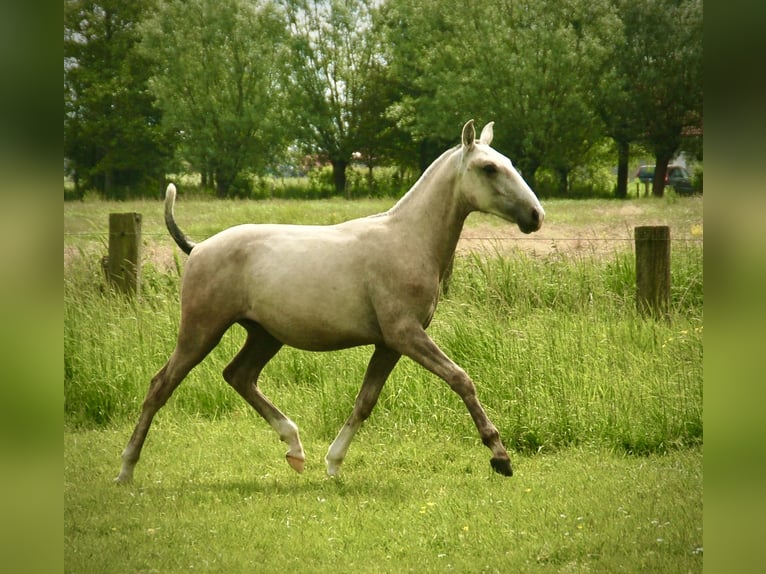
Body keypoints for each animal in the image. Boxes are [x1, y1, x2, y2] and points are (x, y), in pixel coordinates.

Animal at [114, 121, 544, 486]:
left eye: (509, 163)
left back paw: (295, 449)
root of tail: (197, 247)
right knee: (161, 386)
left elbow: (365, 402)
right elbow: (461, 379)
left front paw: (334, 464)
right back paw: (126, 469)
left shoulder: (389, 344)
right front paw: (500, 458)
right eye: (489, 168)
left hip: (264, 336)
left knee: (239, 376)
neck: (409, 239)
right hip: (201, 331)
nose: (535, 216)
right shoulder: (405, 335)